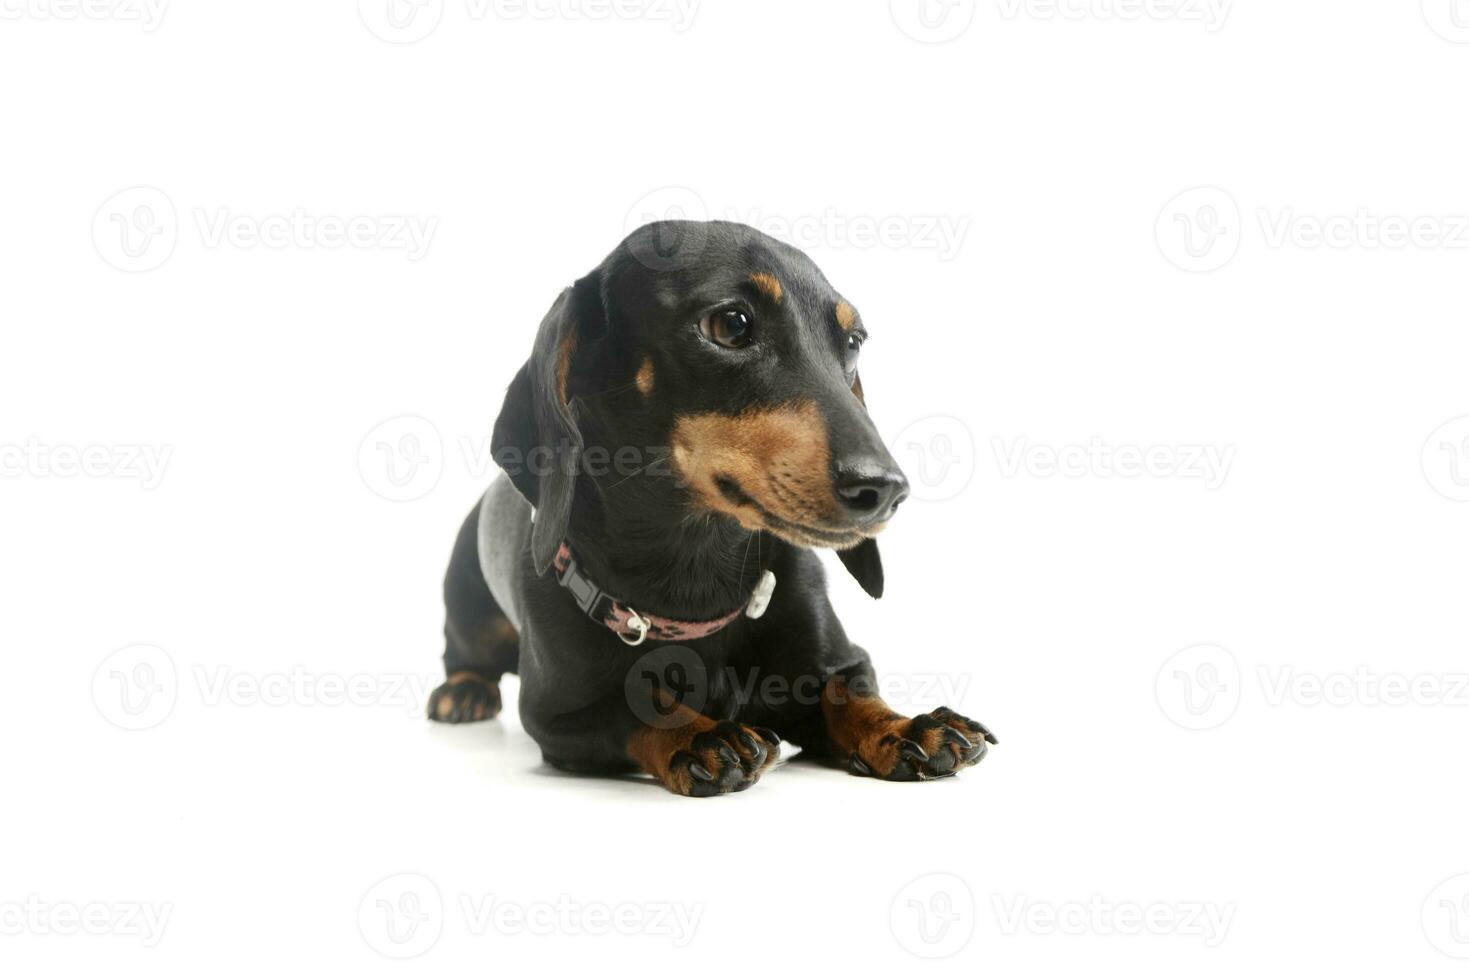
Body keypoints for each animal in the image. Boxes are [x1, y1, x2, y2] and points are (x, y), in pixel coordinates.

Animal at [428, 221, 993, 799]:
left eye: (852, 341)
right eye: (730, 324)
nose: (886, 489)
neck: (698, 570)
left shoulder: (839, 660)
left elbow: (849, 693)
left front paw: (907, 728)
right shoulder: (557, 715)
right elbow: (633, 707)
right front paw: (697, 734)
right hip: (468, 608)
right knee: (463, 653)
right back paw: (464, 691)